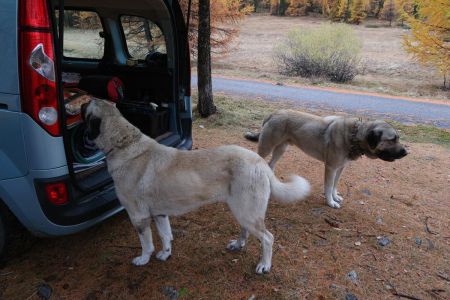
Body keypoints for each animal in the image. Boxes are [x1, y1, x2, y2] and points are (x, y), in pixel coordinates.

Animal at [81, 101, 310, 274]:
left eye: (86, 107)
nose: (79, 104)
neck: (124, 144)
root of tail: (260, 162)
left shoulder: (139, 217)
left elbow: (147, 243)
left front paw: (143, 259)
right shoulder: (160, 214)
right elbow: (165, 236)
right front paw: (165, 254)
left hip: (246, 211)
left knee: (268, 238)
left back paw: (264, 265)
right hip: (243, 211)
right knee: (247, 231)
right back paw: (238, 244)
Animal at [246, 109, 408, 209]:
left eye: (398, 138)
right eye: (392, 139)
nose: (406, 152)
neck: (355, 135)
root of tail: (274, 113)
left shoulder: (340, 168)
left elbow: (335, 185)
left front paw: (335, 197)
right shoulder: (330, 168)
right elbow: (329, 186)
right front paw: (330, 202)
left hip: (281, 149)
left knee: (271, 164)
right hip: (267, 147)